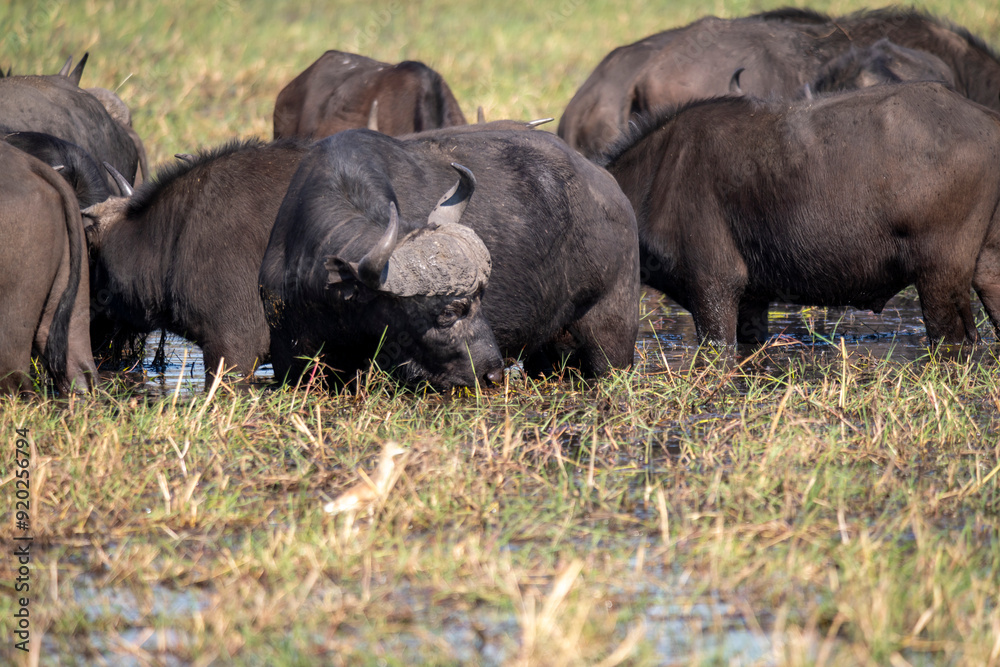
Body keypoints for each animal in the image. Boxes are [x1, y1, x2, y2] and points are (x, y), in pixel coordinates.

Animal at [260, 126, 639, 389]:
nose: (492, 375)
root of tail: (610, 189)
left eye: (482, 300)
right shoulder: (290, 360)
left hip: (611, 332)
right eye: (447, 314)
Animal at [601, 82, 1000, 345]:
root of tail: (987, 119)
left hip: (940, 275)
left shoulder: (714, 287)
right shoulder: (751, 302)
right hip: (987, 268)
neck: (655, 175)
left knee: (954, 341)